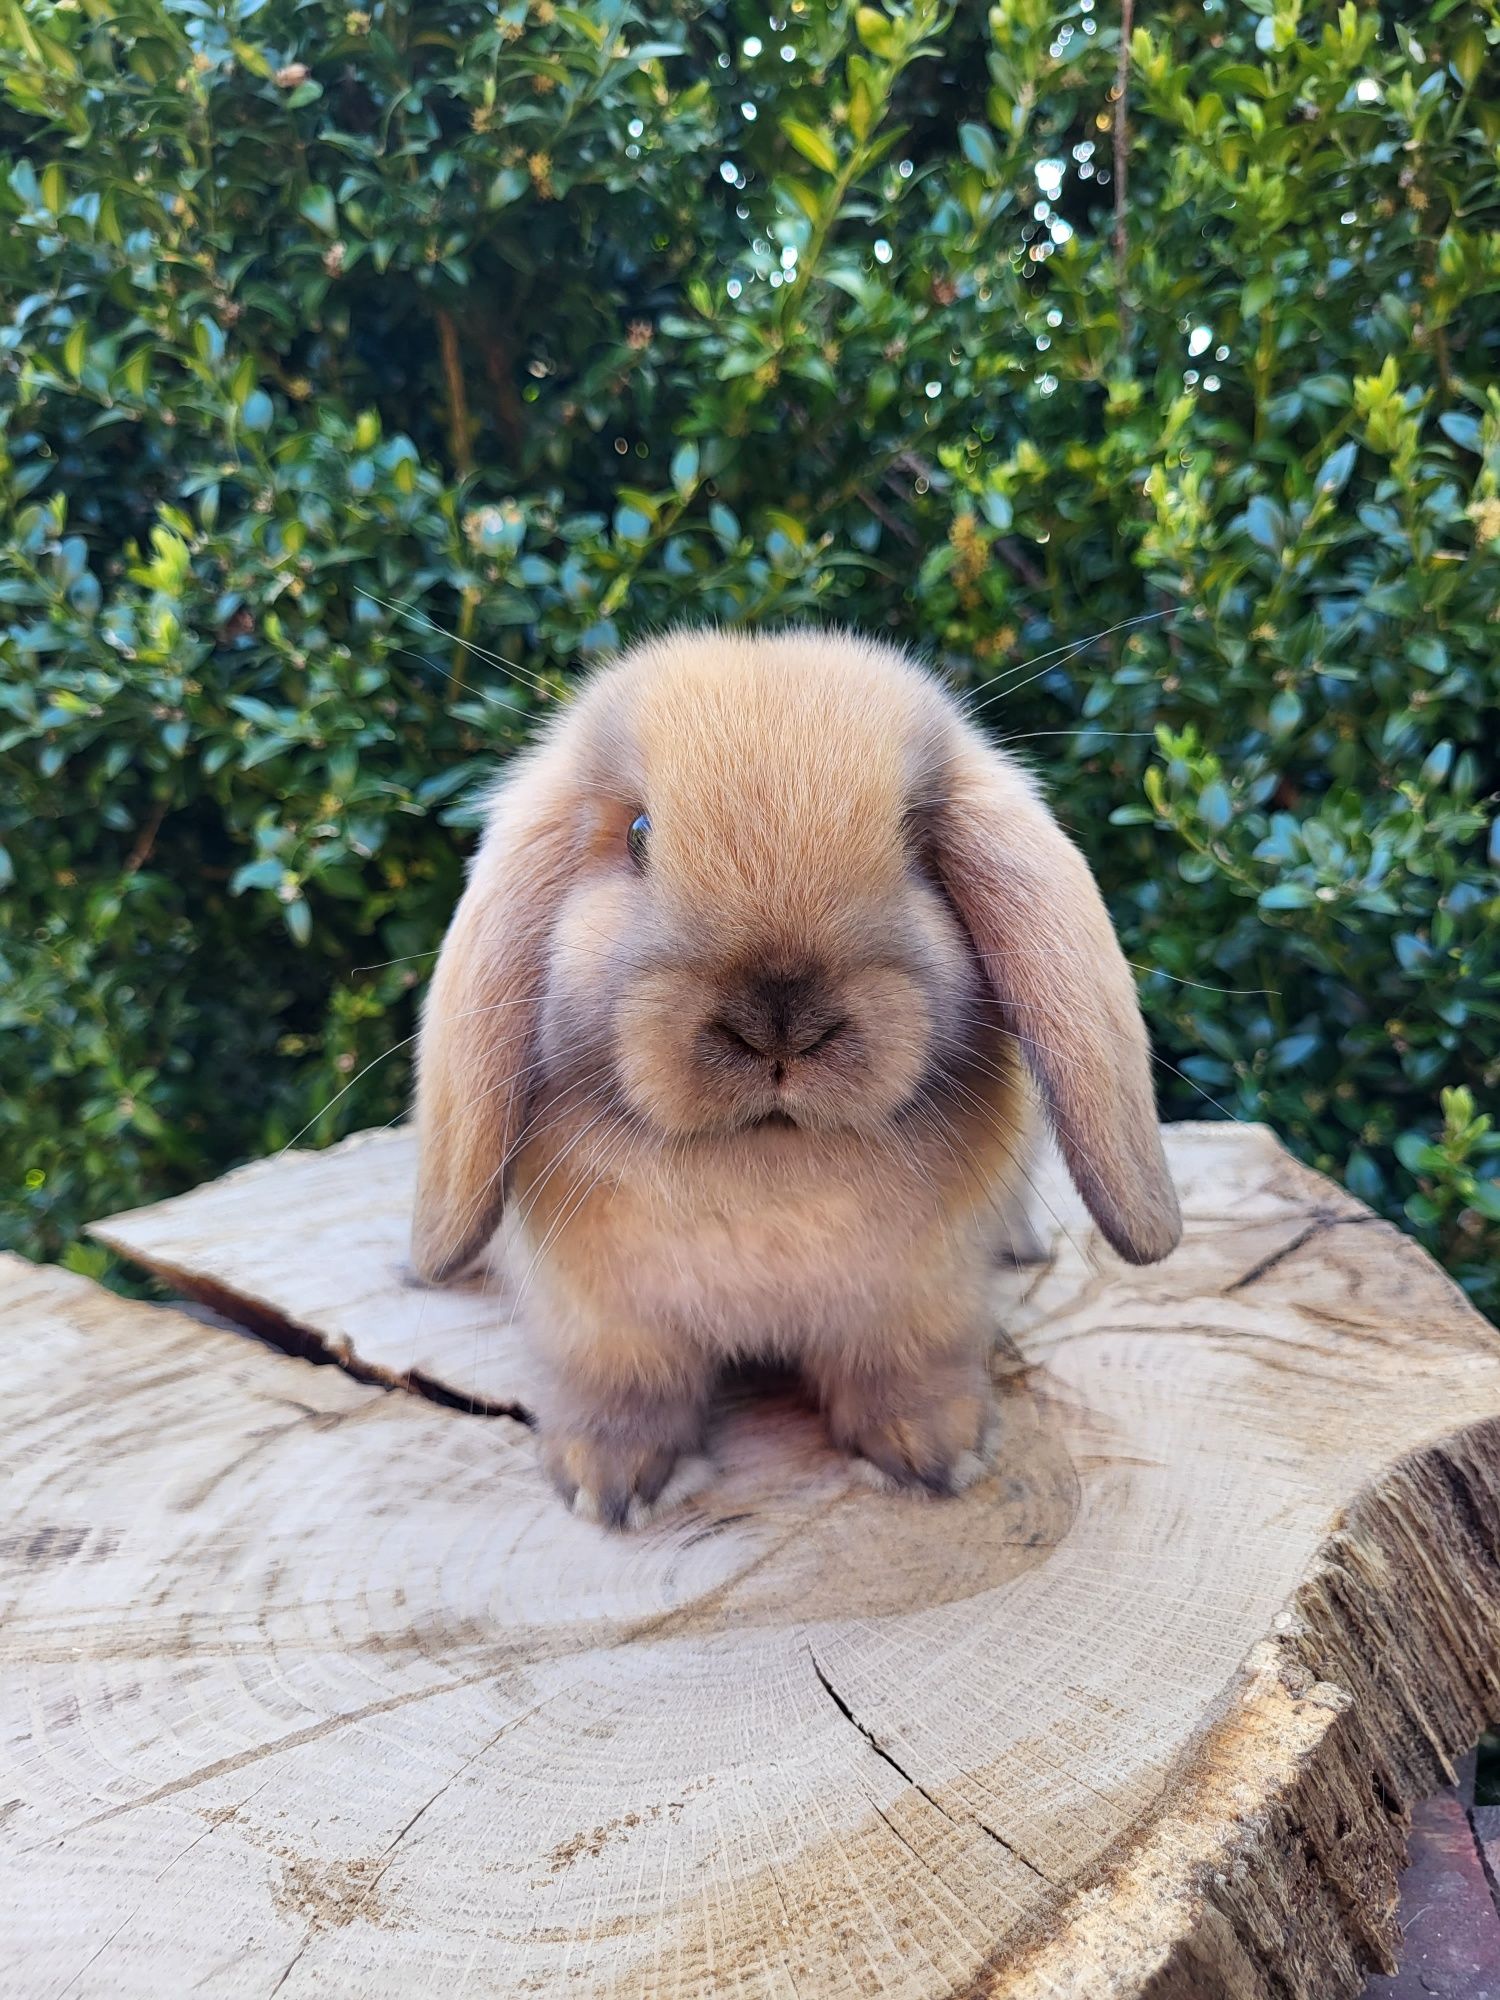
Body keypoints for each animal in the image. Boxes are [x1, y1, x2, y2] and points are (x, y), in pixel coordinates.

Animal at [414, 632, 1184, 1520]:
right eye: (639, 833)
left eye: (916, 844)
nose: (780, 1023)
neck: (769, 1166)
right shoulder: (603, 1319)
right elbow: (622, 1386)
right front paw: (608, 1484)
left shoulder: (918, 1300)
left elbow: (906, 1369)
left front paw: (936, 1454)